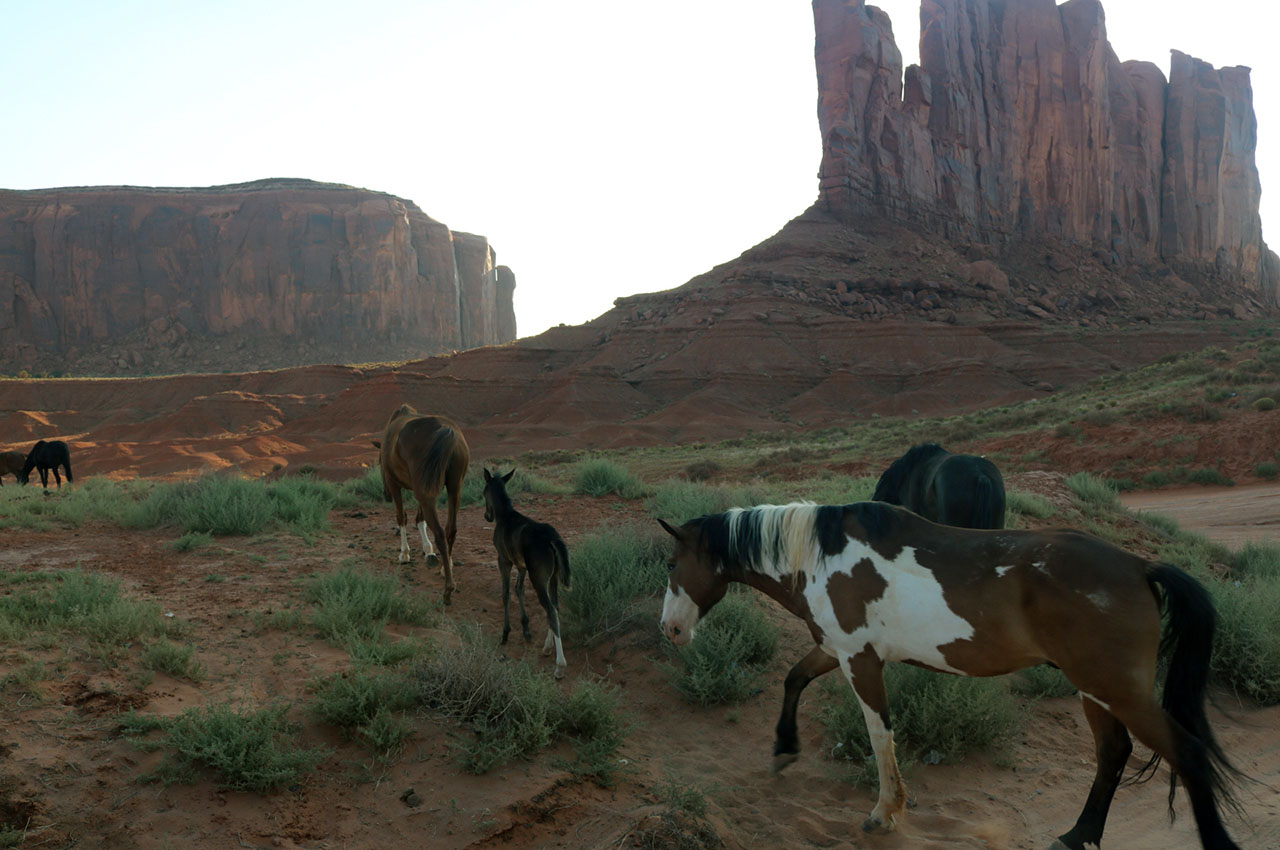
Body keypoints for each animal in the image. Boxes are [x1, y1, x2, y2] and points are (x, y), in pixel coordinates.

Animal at [371, 404, 470, 605]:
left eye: (378, 462)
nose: (385, 495)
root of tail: (447, 431)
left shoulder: (395, 484)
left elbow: (402, 517)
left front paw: (404, 554)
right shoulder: (424, 488)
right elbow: (420, 518)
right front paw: (428, 550)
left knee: (439, 532)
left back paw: (448, 589)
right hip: (454, 489)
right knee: (451, 529)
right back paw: (445, 567)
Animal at [482, 468, 572, 678]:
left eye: (483, 492)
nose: (487, 516)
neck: (506, 516)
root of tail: (552, 538)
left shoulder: (504, 561)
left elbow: (506, 593)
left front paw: (505, 633)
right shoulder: (521, 566)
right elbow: (519, 589)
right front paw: (526, 629)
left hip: (538, 578)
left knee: (551, 610)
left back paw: (559, 665)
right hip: (552, 578)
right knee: (555, 607)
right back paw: (547, 647)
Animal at [658, 501, 1243, 850]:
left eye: (669, 564)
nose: (670, 629)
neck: (821, 557)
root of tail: (1141, 566)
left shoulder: (860, 660)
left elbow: (880, 734)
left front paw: (885, 812)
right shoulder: (836, 649)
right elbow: (793, 680)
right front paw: (783, 748)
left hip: (1117, 689)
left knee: (1187, 753)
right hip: (1097, 691)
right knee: (1113, 754)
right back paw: (1078, 834)